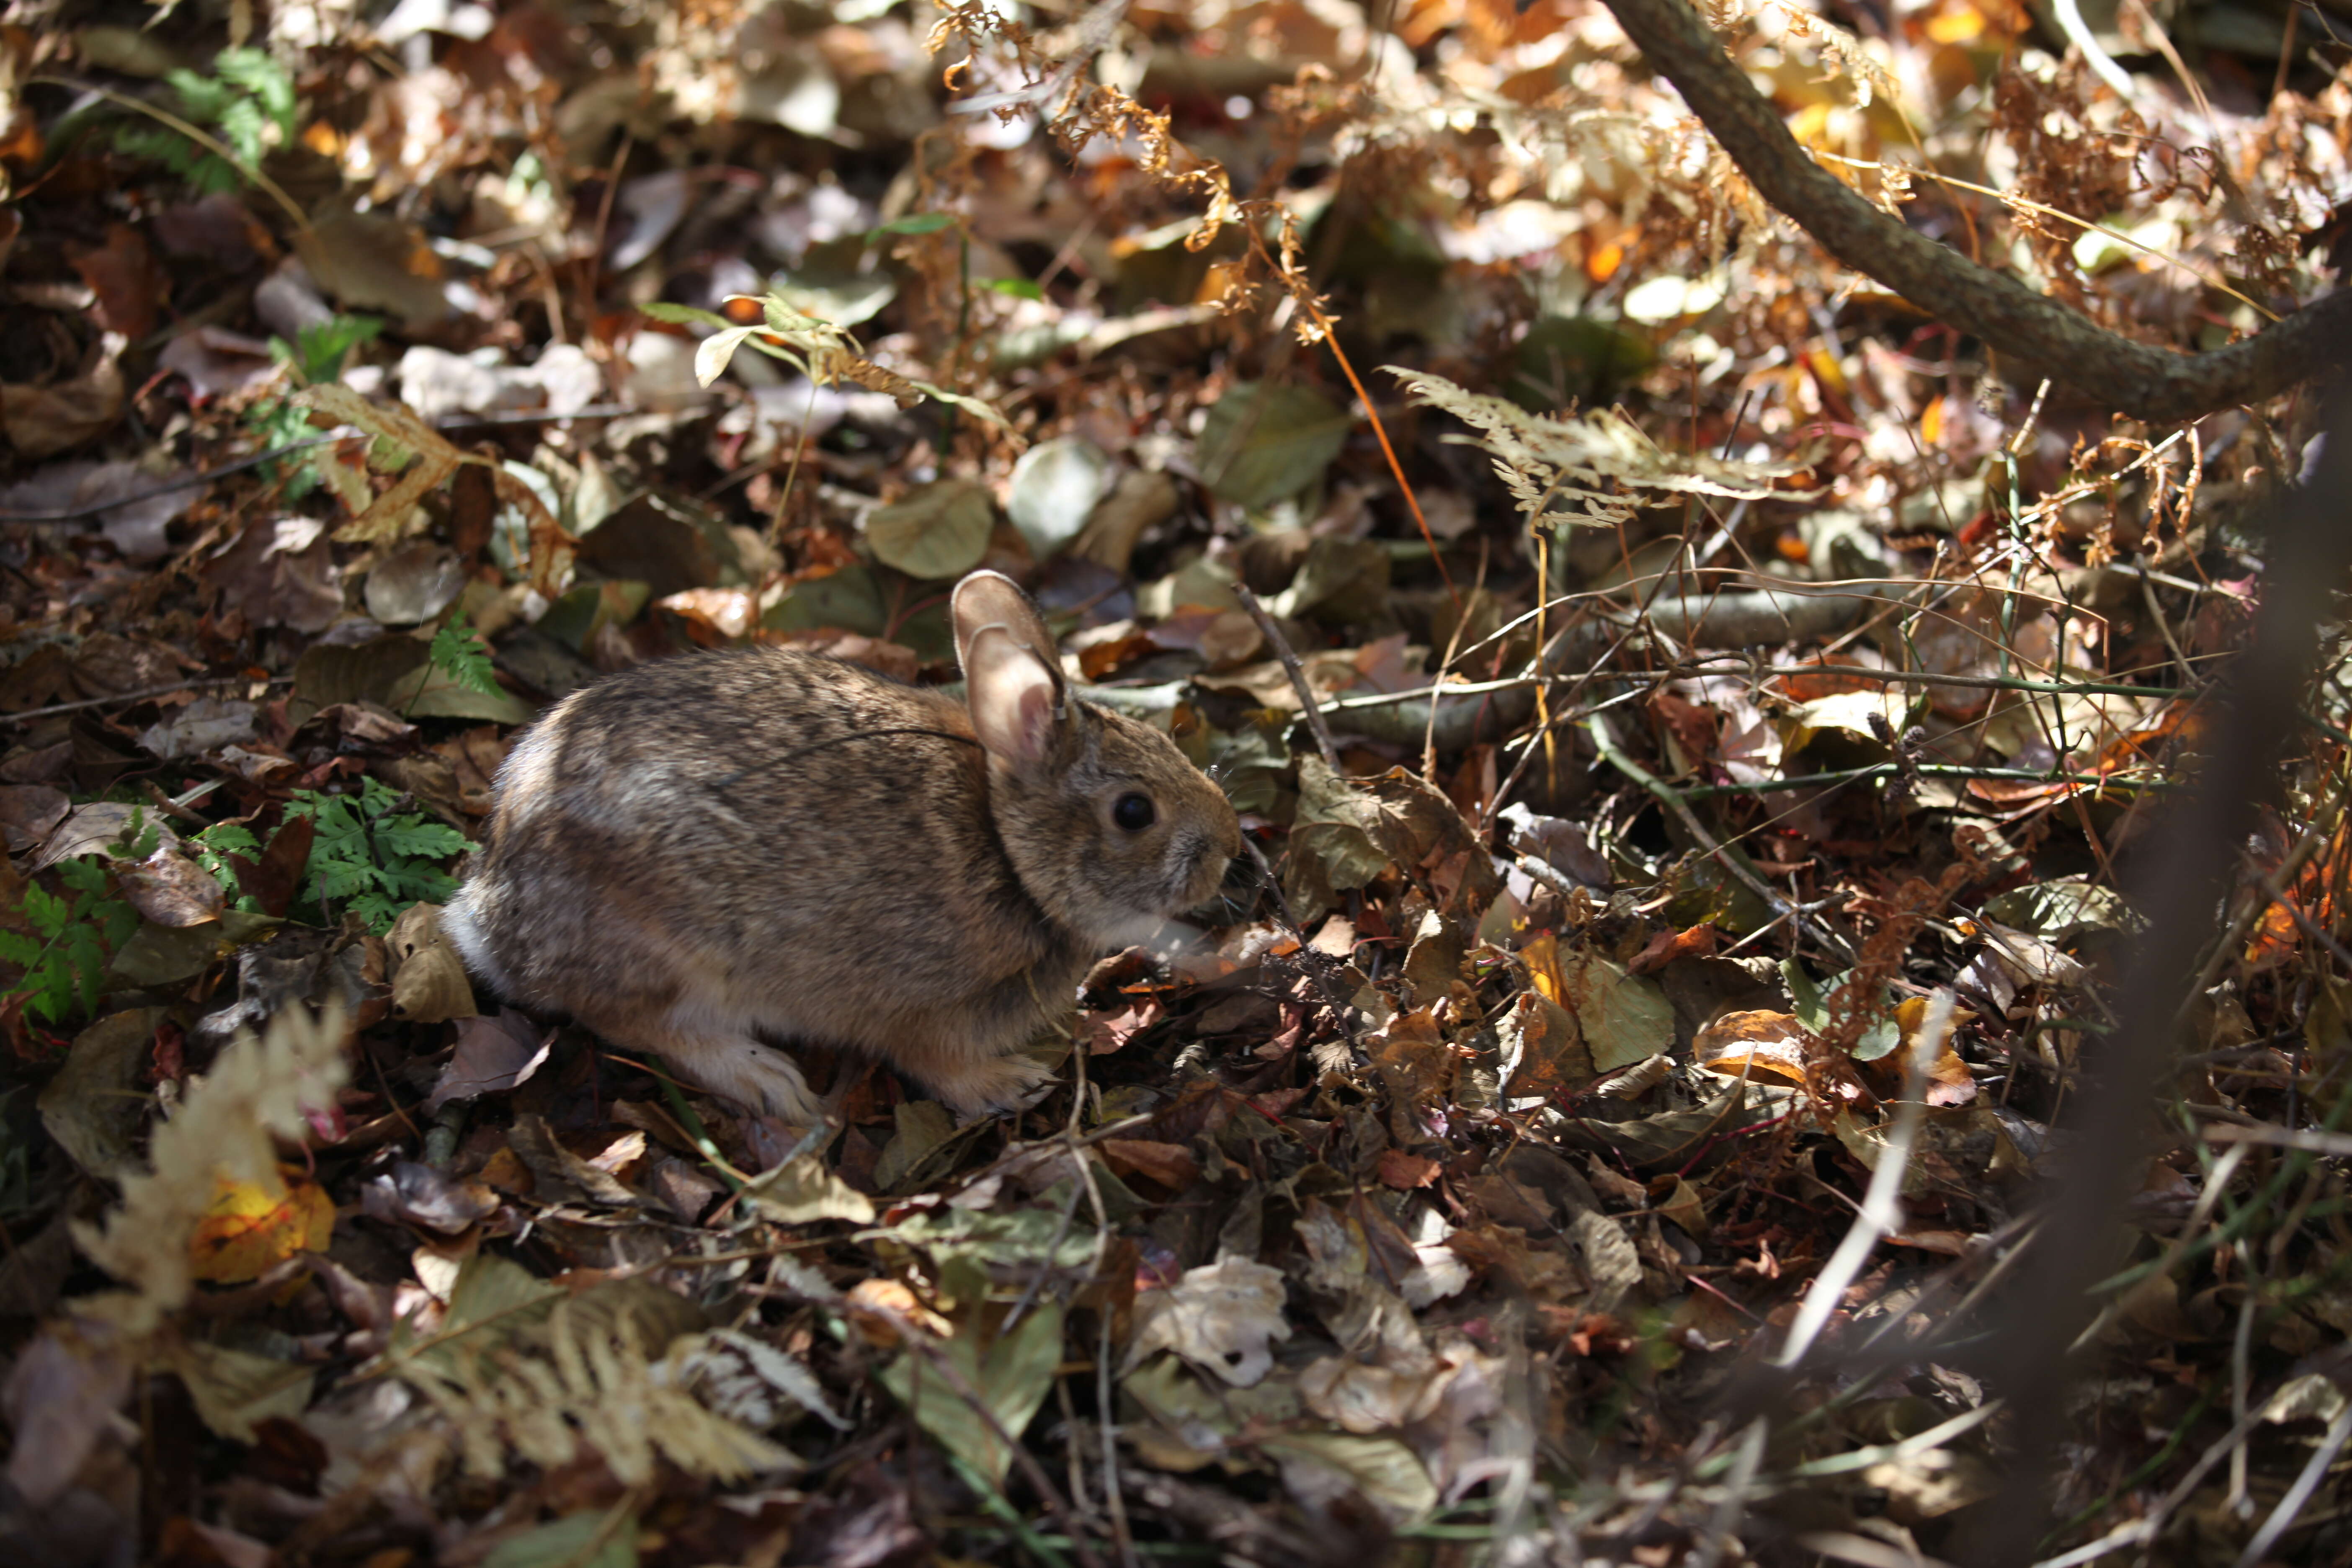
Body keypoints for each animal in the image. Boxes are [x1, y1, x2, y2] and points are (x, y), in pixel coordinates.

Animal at [444, 573, 1251, 1128]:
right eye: (1134, 812)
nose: (1228, 847)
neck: (1009, 850)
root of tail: (491, 921)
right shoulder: (923, 1006)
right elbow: (931, 1061)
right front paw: (1008, 1084)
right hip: (674, 954)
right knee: (635, 1021)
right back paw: (766, 1077)